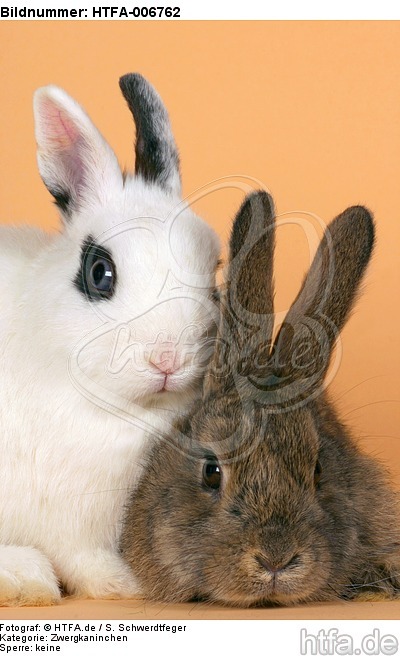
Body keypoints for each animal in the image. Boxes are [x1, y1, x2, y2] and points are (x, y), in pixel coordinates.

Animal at [0, 73, 220, 606]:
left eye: (214, 280)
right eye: (100, 273)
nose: (168, 358)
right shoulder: (71, 522)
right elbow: (86, 559)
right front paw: (125, 583)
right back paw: (25, 576)